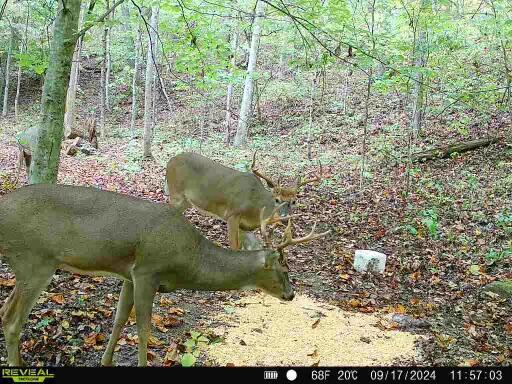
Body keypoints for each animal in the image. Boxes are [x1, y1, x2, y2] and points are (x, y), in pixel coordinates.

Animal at [0, 184, 328, 364]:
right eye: (284, 268)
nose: (291, 294)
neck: (190, 260)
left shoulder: (129, 275)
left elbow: (119, 320)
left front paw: (106, 362)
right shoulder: (148, 270)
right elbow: (144, 330)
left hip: (27, 265)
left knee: (5, 310)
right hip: (36, 260)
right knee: (13, 320)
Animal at [166, 152, 322, 250]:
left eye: (294, 201)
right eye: (277, 200)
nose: (284, 218)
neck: (256, 208)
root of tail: (171, 160)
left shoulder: (245, 226)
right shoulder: (232, 215)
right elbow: (234, 247)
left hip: (186, 201)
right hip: (175, 193)